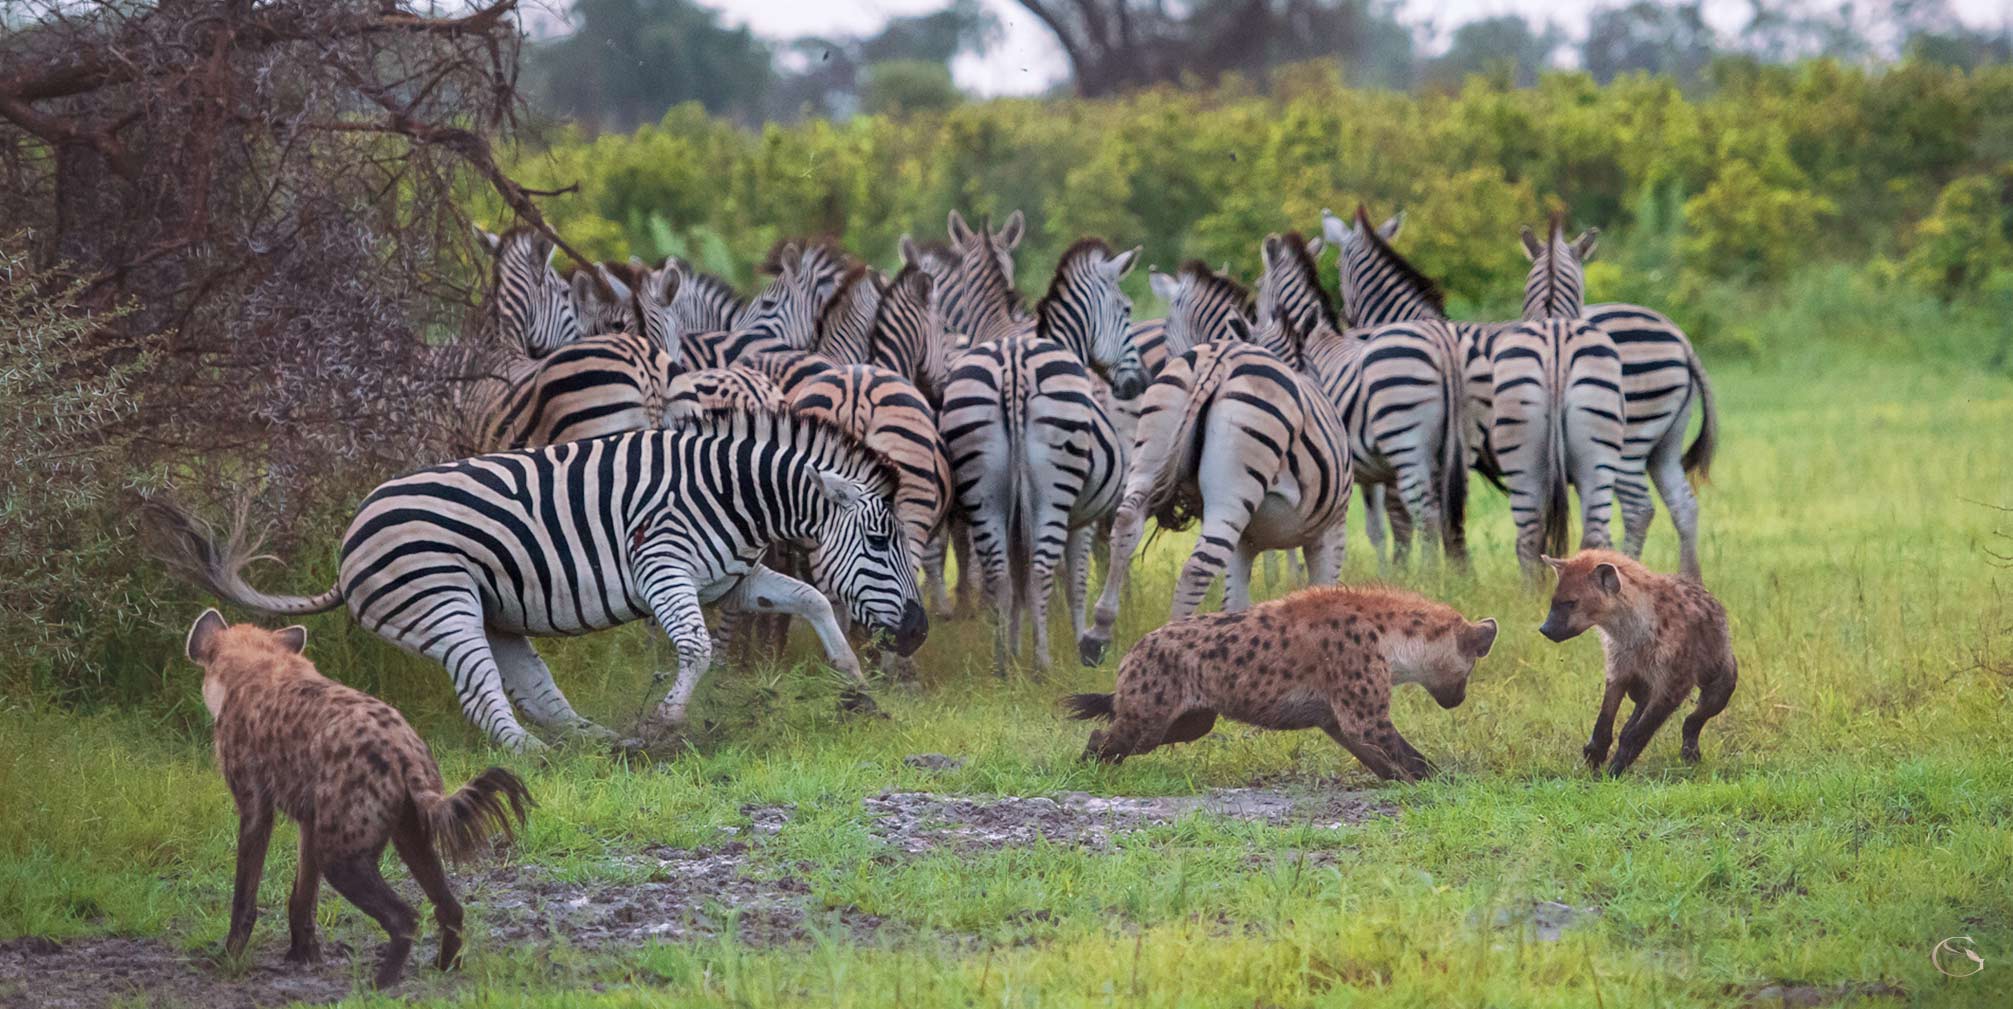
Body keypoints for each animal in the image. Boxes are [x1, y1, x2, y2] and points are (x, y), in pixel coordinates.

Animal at [148, 406, 925, 749]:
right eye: (880, 540)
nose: (917, 634)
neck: (737, 494)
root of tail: (349, 544)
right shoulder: (664, 565)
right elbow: (698, 648)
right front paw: (667, 721)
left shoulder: (725, 579)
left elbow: (811, 595)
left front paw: (856, 686)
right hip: (442, 603)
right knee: (481, 690)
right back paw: (538, 756)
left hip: (492, 611)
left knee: (534, 687)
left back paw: (597, 742)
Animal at [942, 237, 1151, 676]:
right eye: (1126, 309)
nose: (1139, 382)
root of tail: (1014, 364)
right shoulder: (1082, 521)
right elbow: (1074, 582)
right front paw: (1080, 643)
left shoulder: (1016, 521)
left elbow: (1018, 582)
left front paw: (1017, 643)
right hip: (1056, 491)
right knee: (1040, 571)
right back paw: (1042, 666)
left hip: (982, 488)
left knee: (1000, 574)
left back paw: (1003, 664)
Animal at [1320, 204, 1715, 580]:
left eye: (1338, 265)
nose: (1347, 322)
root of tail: (1678, 336)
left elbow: (1402, 520)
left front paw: (1409, 575)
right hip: (1662, 445)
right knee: (1684, 506)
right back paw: (1688, 578)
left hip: (1630, 443)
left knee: (1638, 511)